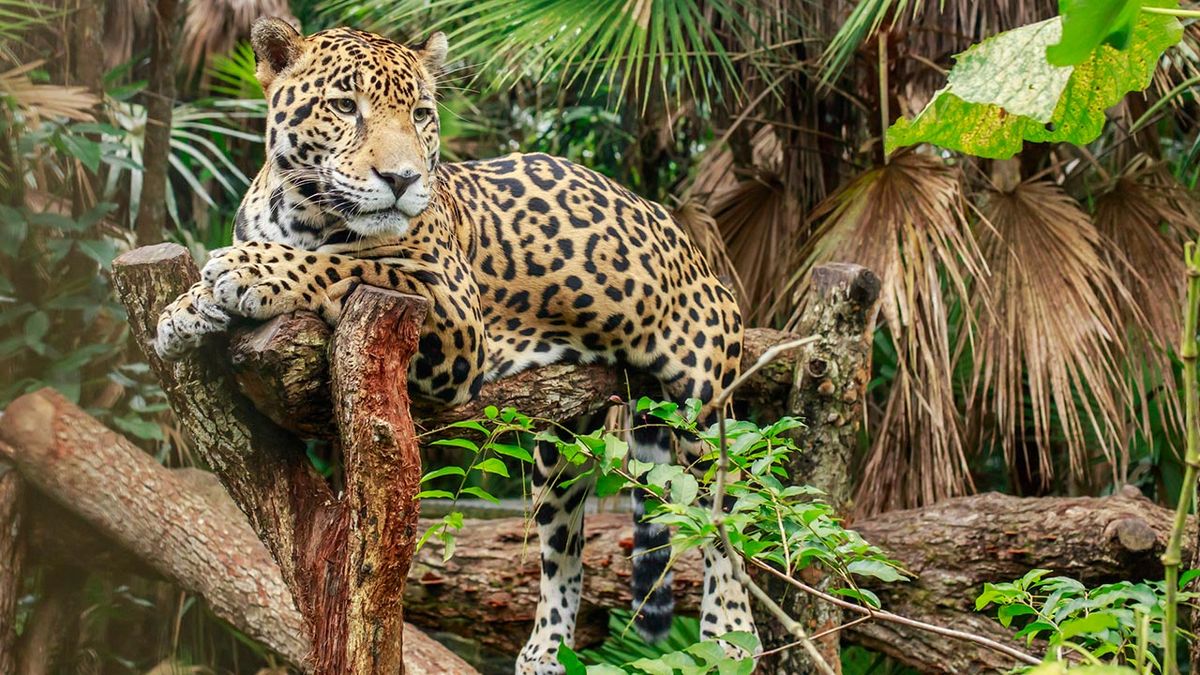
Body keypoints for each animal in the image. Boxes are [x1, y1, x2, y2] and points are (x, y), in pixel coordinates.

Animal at [154, 17, 756, 673]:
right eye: (344, 106)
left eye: (420, 114)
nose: (402, 180)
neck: (301, 214)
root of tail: (690, 244)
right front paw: (181, 310)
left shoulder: (449, 305)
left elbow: (347, 264)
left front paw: (249, 271)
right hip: (562, 444)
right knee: (563, 548)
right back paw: (545, 650)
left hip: (703, 402)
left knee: (727, 514)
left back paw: (731, 630)